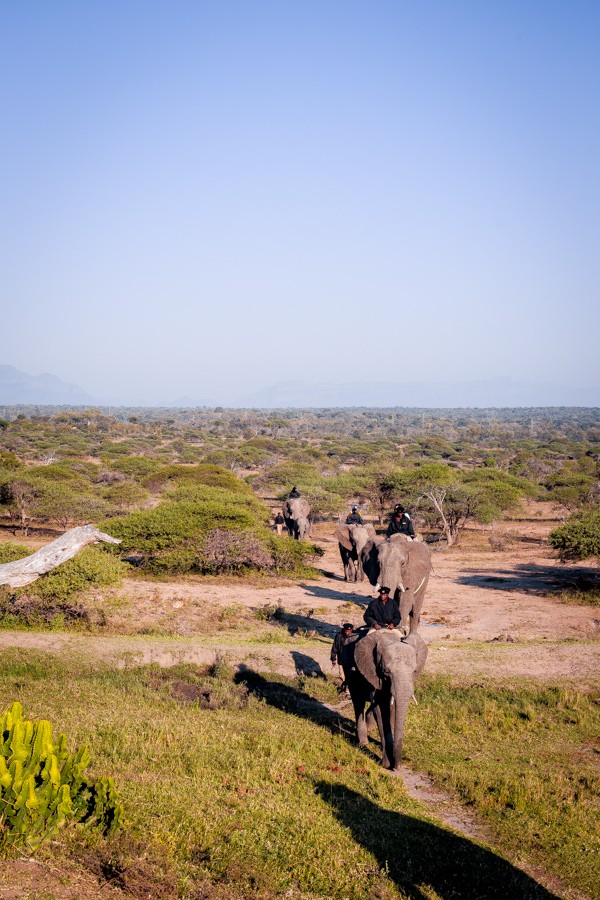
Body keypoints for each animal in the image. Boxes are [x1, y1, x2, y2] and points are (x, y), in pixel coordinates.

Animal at [340, 628, 428, 768]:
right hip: (348, 666)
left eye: (414, 671)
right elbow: (381, 711)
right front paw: (386, 764)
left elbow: (391, 710)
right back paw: (363, 743)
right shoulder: (374, 673)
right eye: (386, 672)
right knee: (358, 702)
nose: (397, 766)